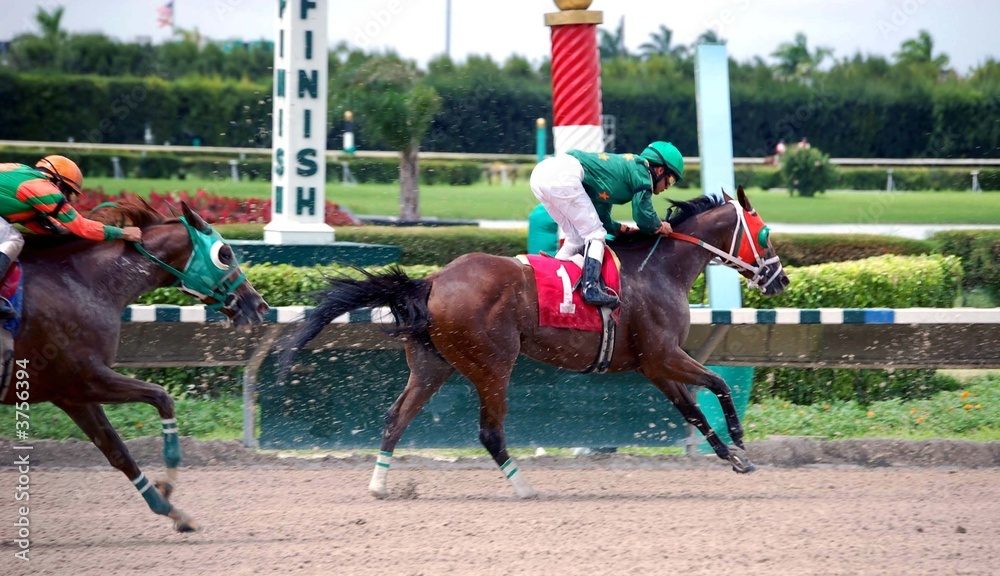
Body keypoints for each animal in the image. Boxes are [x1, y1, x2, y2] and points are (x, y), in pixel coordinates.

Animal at [0, 198, 268, 531]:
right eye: (226, 253)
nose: (259, 305)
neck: (80, 281)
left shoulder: (71, 393)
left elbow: (117, 451)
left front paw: (170, 509)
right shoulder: (86, 377)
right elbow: (162, 397)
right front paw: (167, 486)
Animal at [283, 186, 788, 498]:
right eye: (764, 233)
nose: (779, 278)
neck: (658, 270)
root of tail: (433, 281)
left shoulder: (654, 365)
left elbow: (693, 410)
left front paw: (732, 457)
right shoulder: (664, 355)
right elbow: (718, 385)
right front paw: (740, 442)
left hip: (431, 365)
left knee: (395, 418)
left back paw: (378, 485)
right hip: (492, 364)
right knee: (489, 432)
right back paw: (523, 487)